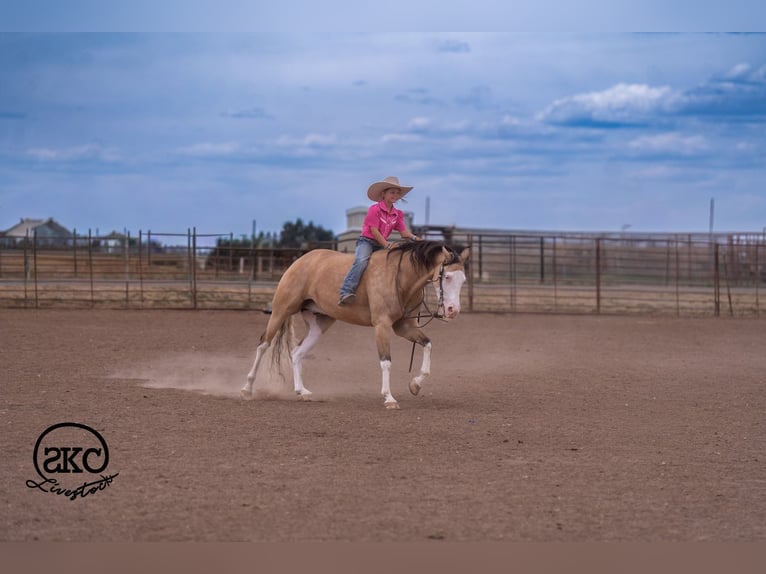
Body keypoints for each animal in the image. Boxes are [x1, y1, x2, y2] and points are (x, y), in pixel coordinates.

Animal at [241, 240, 470, 409]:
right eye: (447, 276)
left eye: (463, 280)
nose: (453, 310)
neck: (400, 278)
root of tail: (301, 261)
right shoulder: (382, 325)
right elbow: (386, 361)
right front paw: (389, 398)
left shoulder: (403, 327)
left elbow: (428, 345)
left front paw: (415, 385)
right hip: (281, 310)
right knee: (263, 345)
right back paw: (247, 389)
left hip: (319, 323)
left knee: (297, 353)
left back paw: (302, 392)